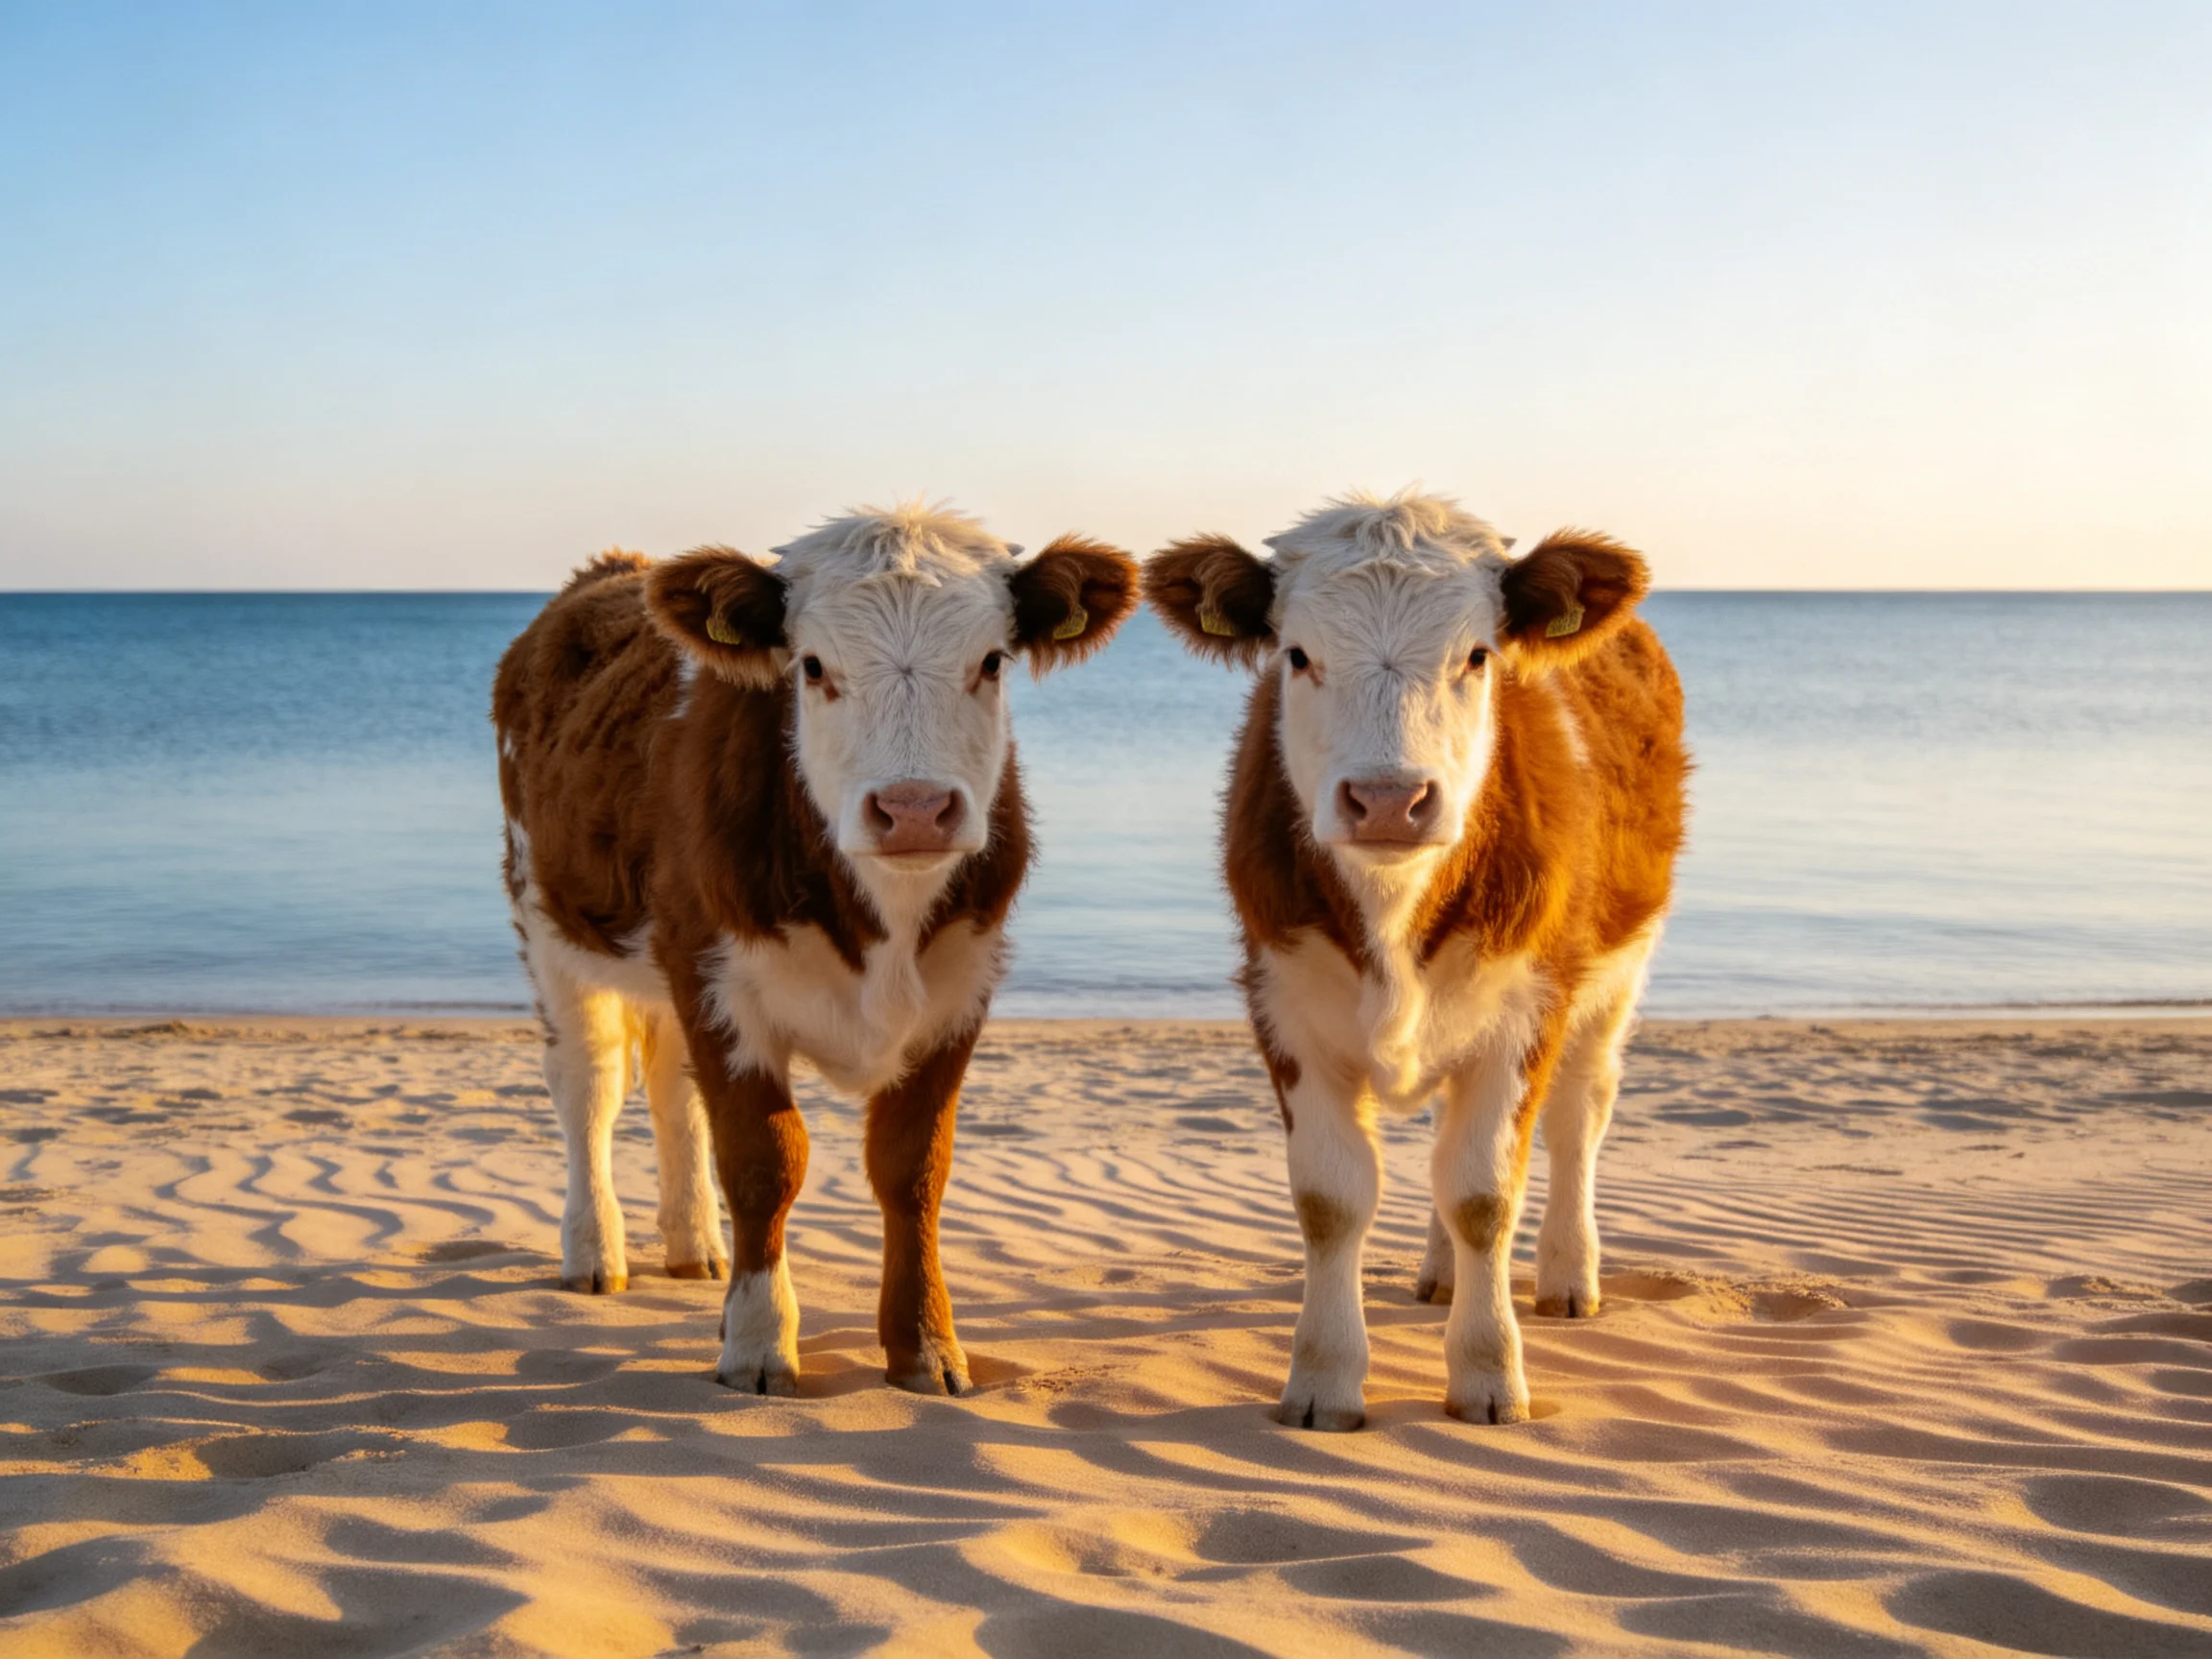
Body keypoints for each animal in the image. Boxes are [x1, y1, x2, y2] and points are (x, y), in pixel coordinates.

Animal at [493, 504, 1137, 1396]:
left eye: (992, 661)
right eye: (813, 666)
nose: (913, 808)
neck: (881, 925)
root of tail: (611, 568)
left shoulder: (960, 988)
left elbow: (913, 1168)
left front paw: (926, 1345)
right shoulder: (721, 985)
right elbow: (765, 1161)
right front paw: (759, 1342)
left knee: (671, 1086)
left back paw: (695, 1247)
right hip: (550, 923)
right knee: (588, 1084)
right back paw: (595, 1253)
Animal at [1143, 490, 1686, 1430]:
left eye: (1478, 654)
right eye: (1297, 654)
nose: (1390, 800)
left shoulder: (1525, 1010)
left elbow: (1485, 1194)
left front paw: (1488, 1373)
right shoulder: (1285, 1006)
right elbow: (1333, 1199)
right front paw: (1323, 1379)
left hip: (1615, 973)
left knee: (1579, 1115)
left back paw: (1568, 1274)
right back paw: (1438, 1275)